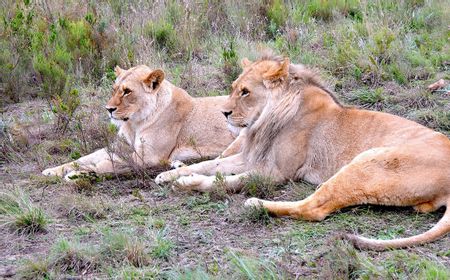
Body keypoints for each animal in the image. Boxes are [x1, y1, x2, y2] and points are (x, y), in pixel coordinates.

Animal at [42, 65, 239, 179]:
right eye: (114, 89)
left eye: (127, 91)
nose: (108, 109)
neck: (133, 123)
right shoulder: (118, 147)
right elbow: (84, 158)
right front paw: (54, 170)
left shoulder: (147, 156)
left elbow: (106, 164)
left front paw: (79, 173)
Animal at [156, 55, 450, 250]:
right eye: (232, 88)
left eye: (245, 92)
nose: (224, 113)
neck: (266, 119)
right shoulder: (250, 157)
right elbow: (208, 166)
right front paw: (168, 175)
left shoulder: (276, 172)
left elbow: (228, 180)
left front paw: (188, 183)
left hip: (365, 162)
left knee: (314, 208)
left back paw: (256, 204)